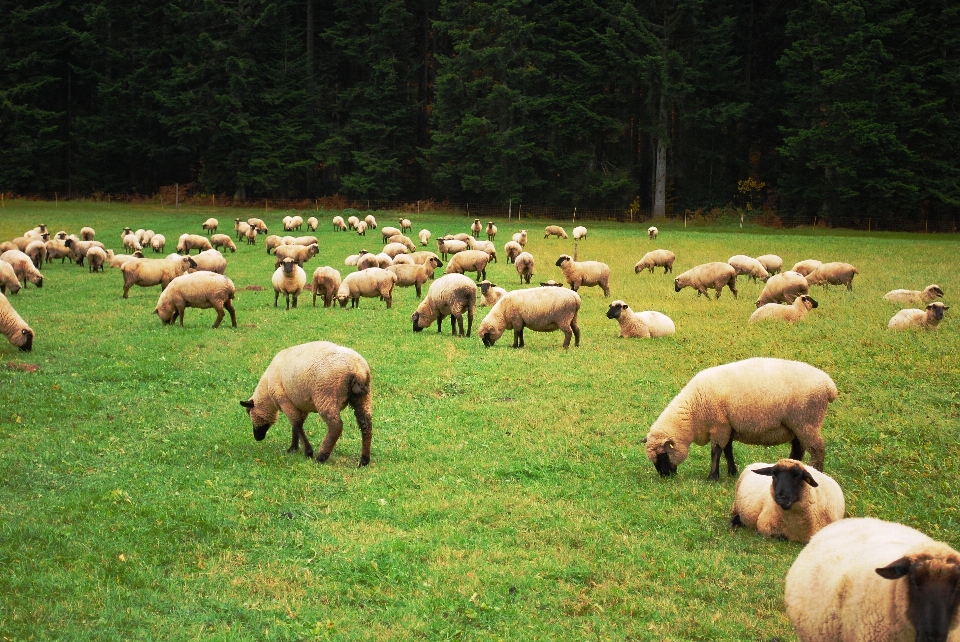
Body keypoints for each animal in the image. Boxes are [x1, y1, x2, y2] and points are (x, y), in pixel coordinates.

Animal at [240, 340, 376, 464]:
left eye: (249, 412)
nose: (257, 437)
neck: (267, 391)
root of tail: (358, 370)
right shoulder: (299, 405)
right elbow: (295, 426)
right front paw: (293, 448)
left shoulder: (285, 401)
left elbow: (296, 425)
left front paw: (307, 452)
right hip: (363, 397)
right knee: (366, 424)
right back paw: (364, 460)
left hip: (326, 396)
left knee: (336, 426)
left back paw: (322, 456)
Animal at [640, 358, 836, 478]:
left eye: (663, 455)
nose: (665, 476)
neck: (693, 412)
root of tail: (829, 385)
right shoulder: (728, 426)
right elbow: (728, 450)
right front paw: (732, 472)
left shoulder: (719, 425)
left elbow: (716, 451)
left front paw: (712, 477)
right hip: (797, 426)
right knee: (798, 450)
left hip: (807, 421)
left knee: (817, 450)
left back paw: (817, 473)